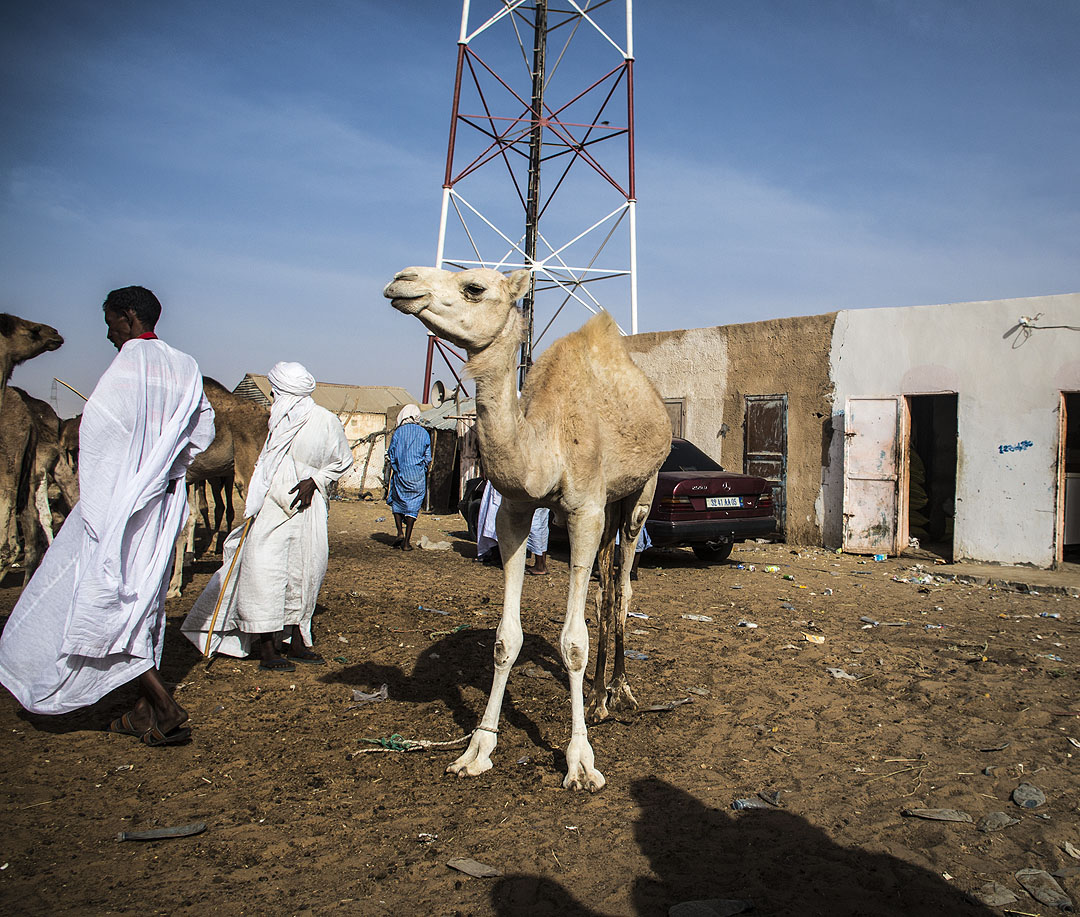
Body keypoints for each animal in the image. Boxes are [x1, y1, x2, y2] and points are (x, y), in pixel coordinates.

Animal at [384, 266, 670, 791]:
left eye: (474, 288)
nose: (402, 279)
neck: (545, 442)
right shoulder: (514, 512)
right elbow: (505, 640)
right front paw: (477, 749)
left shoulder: (583, 510)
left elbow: (572, 642)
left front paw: (580, 762)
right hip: (609, 504)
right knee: (604, 586)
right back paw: (597, 696)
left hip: (641, 492)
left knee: (623, 585)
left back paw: (621, 691)